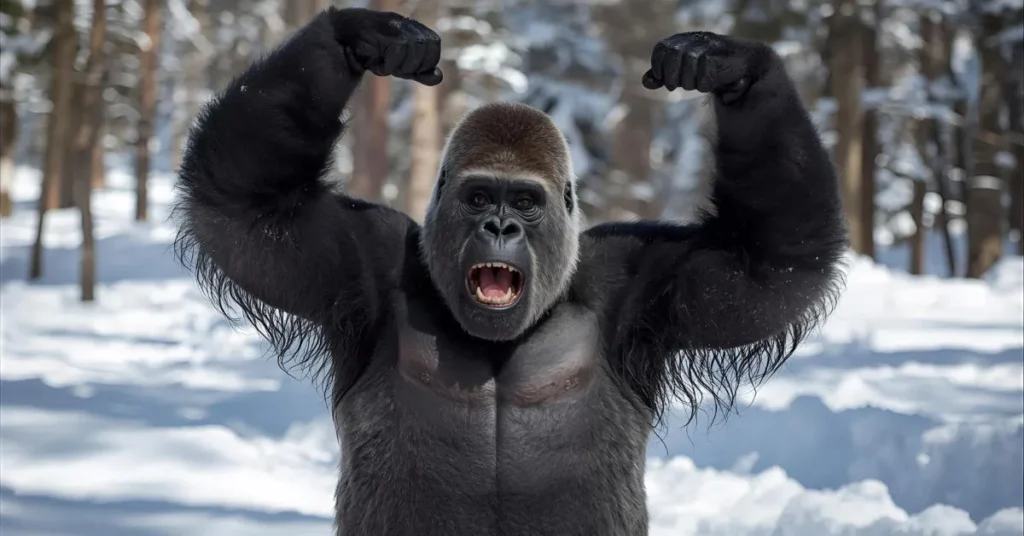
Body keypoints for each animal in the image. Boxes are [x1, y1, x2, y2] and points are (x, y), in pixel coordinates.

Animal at [173, 6, 847, 536]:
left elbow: (775, 258)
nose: (500, 227)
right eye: (478, 199)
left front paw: (730, 67)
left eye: (524, 203)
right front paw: (361, 34)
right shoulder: (357, 258)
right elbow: (243, 200)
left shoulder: (644, 281)